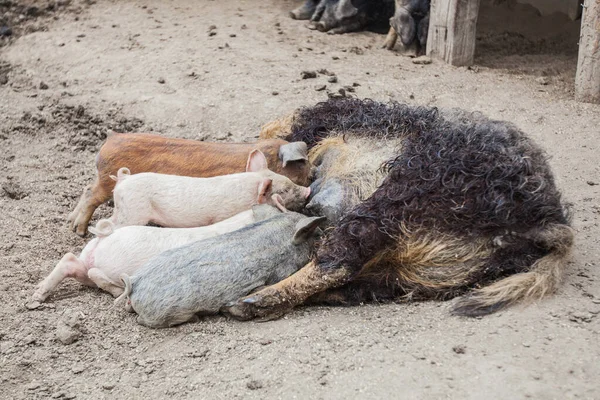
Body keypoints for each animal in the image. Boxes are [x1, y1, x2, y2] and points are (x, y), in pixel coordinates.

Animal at [119, 212, 326, 328]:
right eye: (316, 235)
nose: (324, 233)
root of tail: (134, 282)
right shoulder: (280, 274)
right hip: (166, 313)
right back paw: (196, 319)